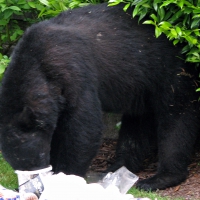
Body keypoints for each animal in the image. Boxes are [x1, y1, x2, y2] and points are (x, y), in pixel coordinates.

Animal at [0, 2, 199, 191]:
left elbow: (83, 129)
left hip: (172, 71)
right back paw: (117, 168)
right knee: (137, 122)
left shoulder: (74, 73)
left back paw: (159, 178)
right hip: (142, 84)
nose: (35, 178)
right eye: (17, 166)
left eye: (36, 157)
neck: (37, 60)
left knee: (175, 120)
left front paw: (67, 178)